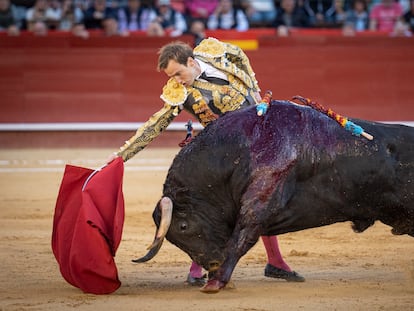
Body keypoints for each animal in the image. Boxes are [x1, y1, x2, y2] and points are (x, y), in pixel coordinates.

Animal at [134, 100, 412, 294]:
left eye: (183, 225)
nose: (212, 264)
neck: (239, 149)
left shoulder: (261, 200)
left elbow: (240, 239)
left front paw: (216, 282)